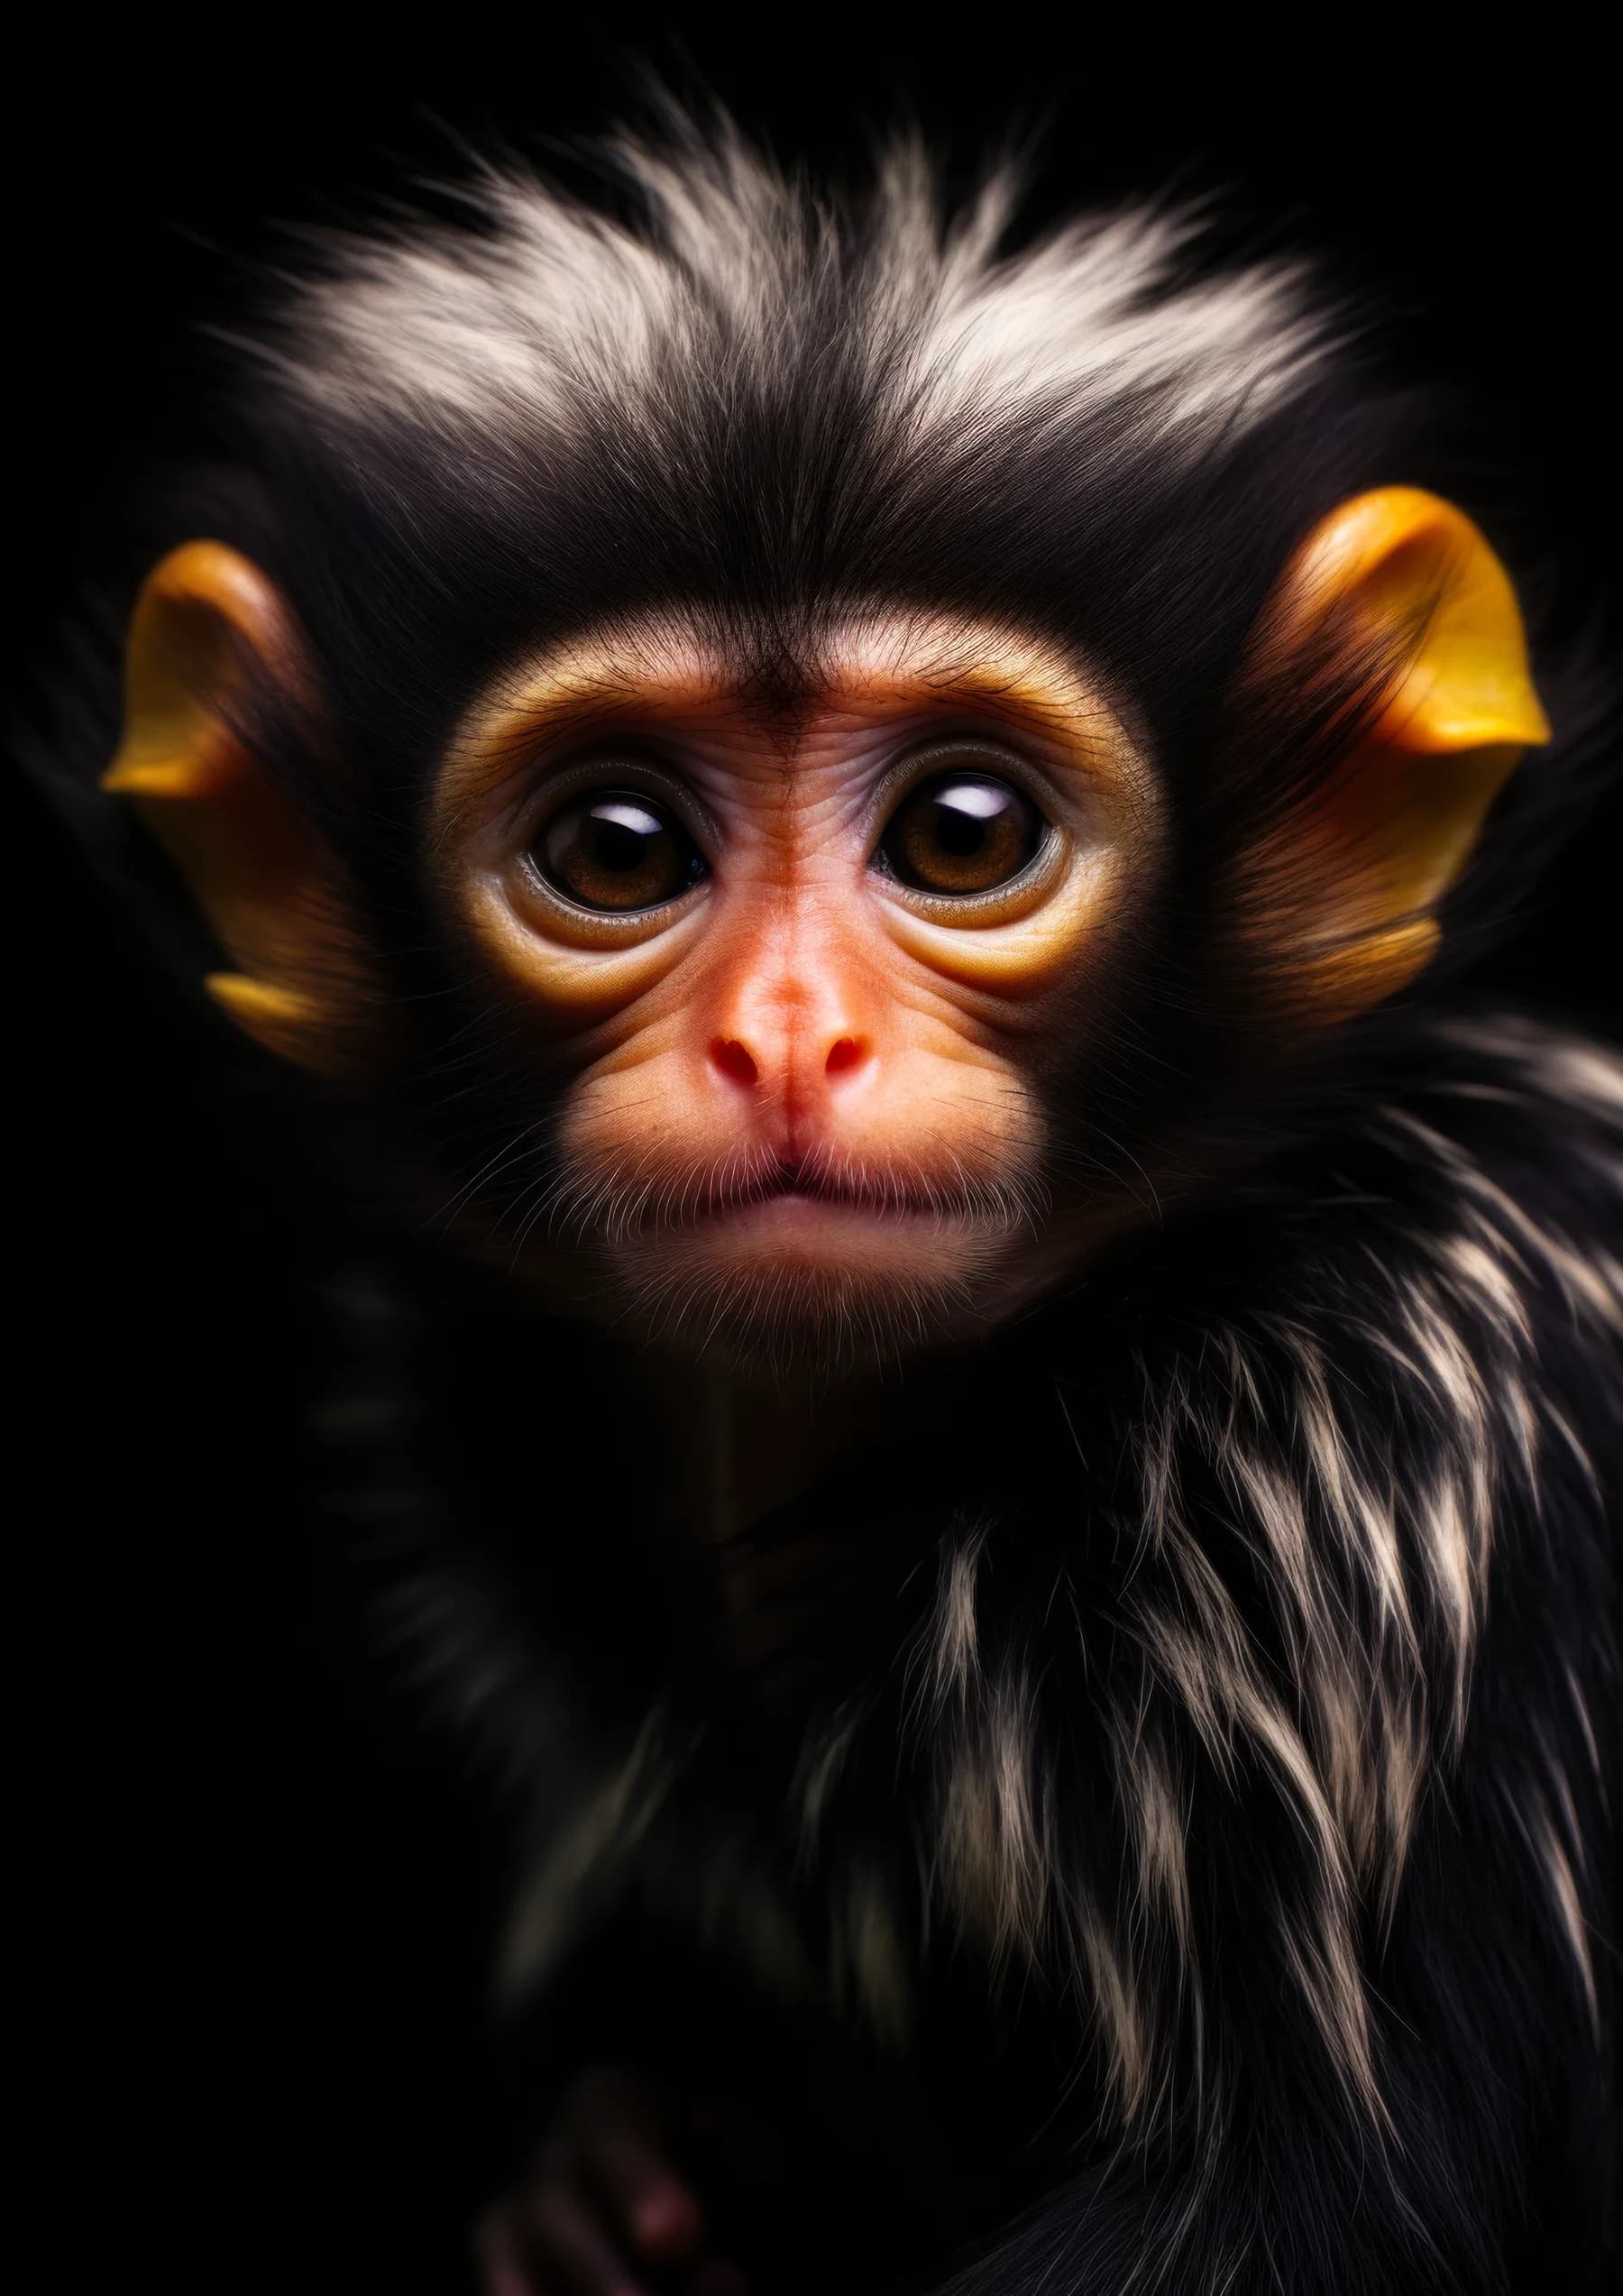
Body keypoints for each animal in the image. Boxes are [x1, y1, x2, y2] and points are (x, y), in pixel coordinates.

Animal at [27, 107, 1621, 2295]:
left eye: (967, 832)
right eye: (616, 849)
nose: (788, 1045)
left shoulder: (1379, 1448)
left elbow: (1316, 2200)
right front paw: (614, 2167)